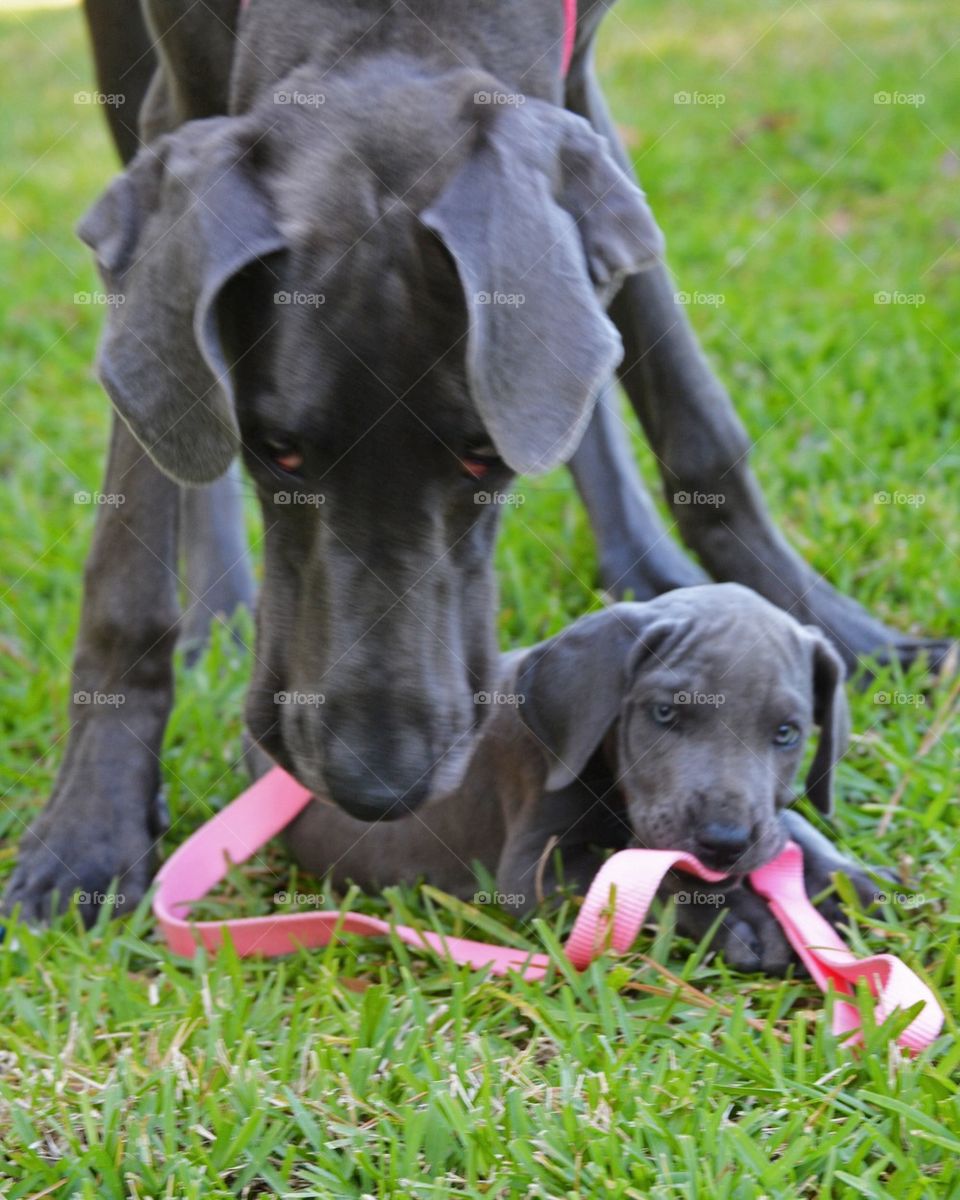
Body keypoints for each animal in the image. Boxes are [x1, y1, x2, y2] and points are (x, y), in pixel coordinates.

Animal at [1, 0, 945, 926]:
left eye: (483, 455)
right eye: (279, 451)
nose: (375, 788)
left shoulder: (574, 84)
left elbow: (688, 410)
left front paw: (839, 629)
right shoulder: (181, 96)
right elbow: (135, 527)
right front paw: (91, 826)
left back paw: (645, 568)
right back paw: (222, 609)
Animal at [285, 588, 878, 974]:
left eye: (786, 733)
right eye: (665, 713)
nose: (725, 843)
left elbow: (789, 828)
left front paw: (846, 878)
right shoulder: (533, 870)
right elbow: (640, 879)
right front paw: (741, 919)